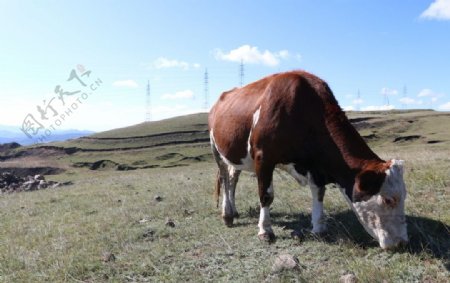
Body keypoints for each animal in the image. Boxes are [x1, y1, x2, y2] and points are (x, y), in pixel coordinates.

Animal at [207, 71, 408, 251]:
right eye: (388, 200)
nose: (402, 242)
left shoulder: (314, 165)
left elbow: (319, 193)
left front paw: (318, 229)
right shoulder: (263, 157)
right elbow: (266, 195)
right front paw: (265, 231)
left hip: (236, 154)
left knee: (233, 178)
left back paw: (234, 211)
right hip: (215, 148)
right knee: (224, 178)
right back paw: (227, 215)